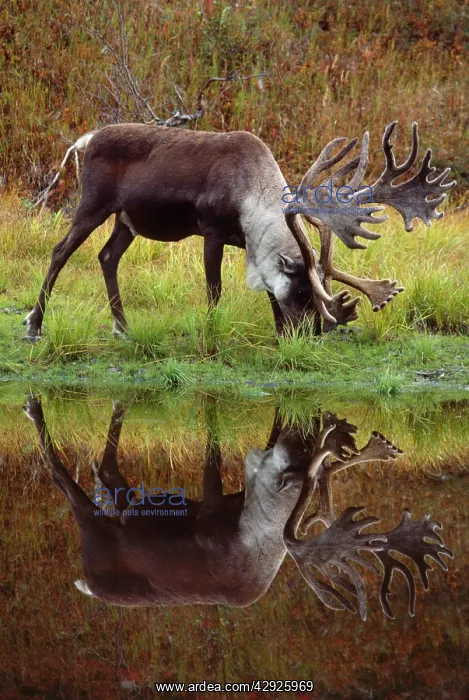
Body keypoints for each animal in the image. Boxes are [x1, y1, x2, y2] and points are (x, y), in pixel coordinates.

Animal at [22, 121, 454, 340]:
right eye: (304, 293)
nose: (311, 334)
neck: (251, 193)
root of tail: (87, 139)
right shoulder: (212, 230)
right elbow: (214, 289)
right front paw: (213, 332)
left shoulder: (249, 244)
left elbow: (267, 289)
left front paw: (279, 333)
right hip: (94, 203)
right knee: (60, 251)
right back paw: (35, 323)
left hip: (127, 219)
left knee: (107, 256)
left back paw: (123, 327)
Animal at [24, 395, 453, 618]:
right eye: (290, 472)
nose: (308, 439)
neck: (256, 530)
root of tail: (90, 586)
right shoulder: (213, 517)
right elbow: (214, 456)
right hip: (94, 532)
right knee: (65, 483)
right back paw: (32, 408)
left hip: (126, 514)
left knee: (109, 475)